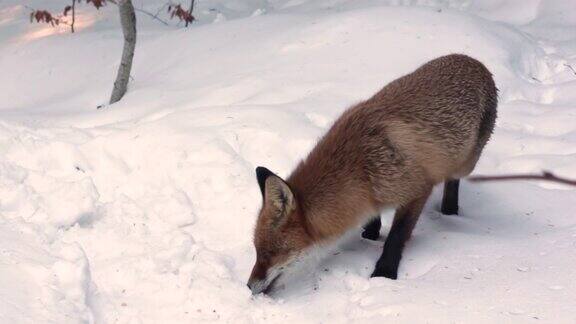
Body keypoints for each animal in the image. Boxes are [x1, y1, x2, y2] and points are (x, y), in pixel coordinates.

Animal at [246, 54, 496, 294]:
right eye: (256, 252)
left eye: (269, 253)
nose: (248, 286)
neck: (360, 167)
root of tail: (474, 60)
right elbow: (374, 216)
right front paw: (372, 231)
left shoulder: (417, 189)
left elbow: (397, 236)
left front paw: (384, 272)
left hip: (465, 163)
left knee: (453, 179)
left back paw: (450, 210)